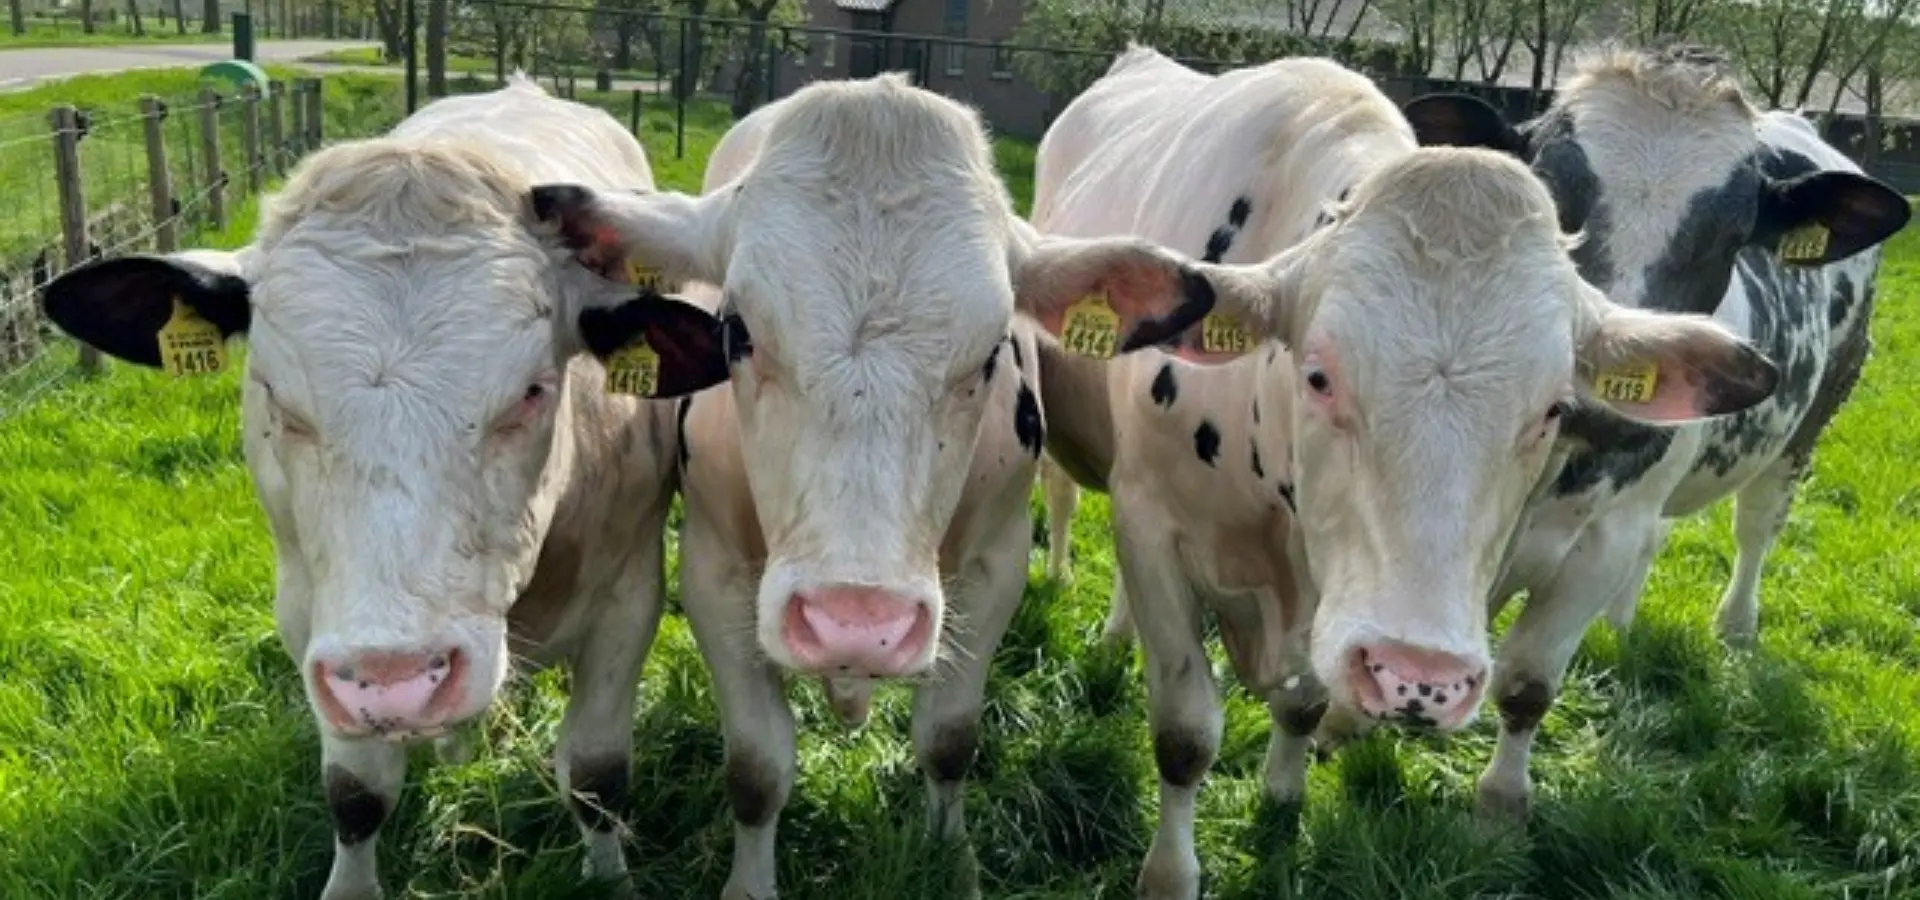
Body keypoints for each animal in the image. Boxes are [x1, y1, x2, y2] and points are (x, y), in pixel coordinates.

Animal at [37, 76, 678, 900]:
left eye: (533, 390)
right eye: (276, 397)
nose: (398, 682)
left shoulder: (630, 595)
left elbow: (596, 776)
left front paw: (609, 878)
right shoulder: (311, 617)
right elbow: (356, 792)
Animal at [525, 73, 1304, 899]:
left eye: (992, 351)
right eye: (737, 332)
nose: (853, 623)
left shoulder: (995, 567)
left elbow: (948, 740)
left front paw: (951, 858)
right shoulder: (713, 572)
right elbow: (758, 769)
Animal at [1025, 46, 1783, 898]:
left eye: (1555, 408)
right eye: (1319, 376)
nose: (1419, 677)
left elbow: (1306, 704)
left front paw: (1283, 798)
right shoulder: (1150, 528)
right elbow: (1186, 734)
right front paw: (1169, 874)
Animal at [1398, 44, 1911, 819]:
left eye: (1731, 238)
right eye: (1551, 199)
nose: (1602, 393)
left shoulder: (1599, 540)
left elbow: (1526, 681)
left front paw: (1501, 802)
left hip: (1809, 422)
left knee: (1757, 527)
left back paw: (1735, 626)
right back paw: (1620, 624)